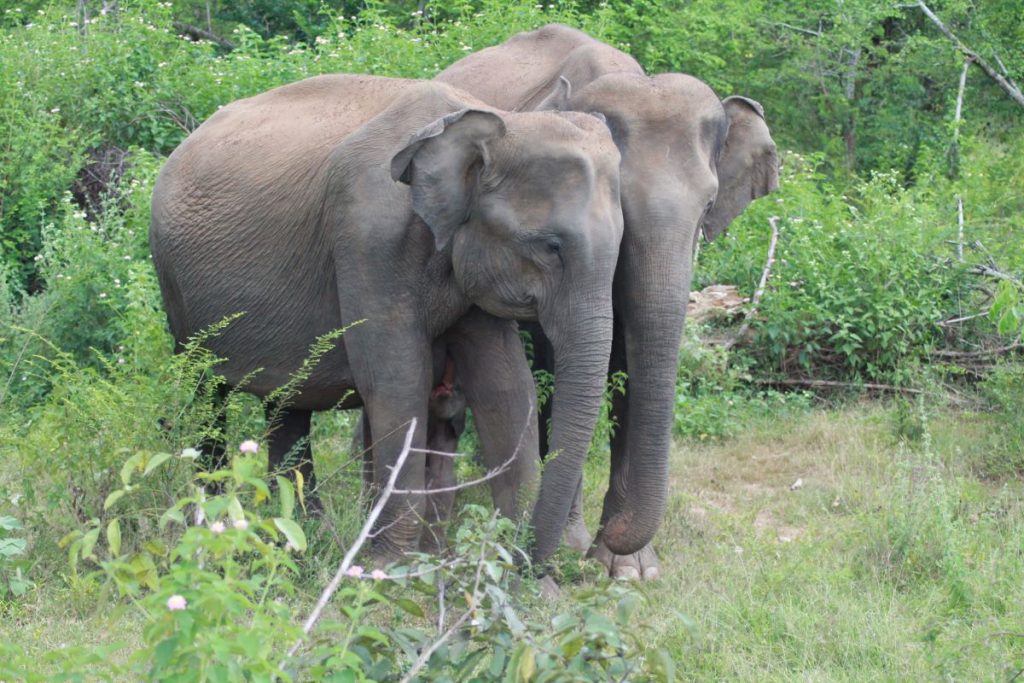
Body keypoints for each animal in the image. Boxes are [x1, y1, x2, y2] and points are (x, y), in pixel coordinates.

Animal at [147, 72, 618, 565]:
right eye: (550, 246)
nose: (542, 558)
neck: (490, 120)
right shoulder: (368, 237)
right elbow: (397, 382)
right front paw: (388, 568)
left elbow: (504, 384)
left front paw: (514, 571)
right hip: (175, 286)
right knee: (206, 390)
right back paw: (218, 530)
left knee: (287, 402)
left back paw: (303, 540)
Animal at [423, 25, 782, 577]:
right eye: (621, 210)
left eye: (708, 207)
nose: (613, 530)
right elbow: (555, 368)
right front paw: (573, 545)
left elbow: (632, 366)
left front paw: (627, 567)